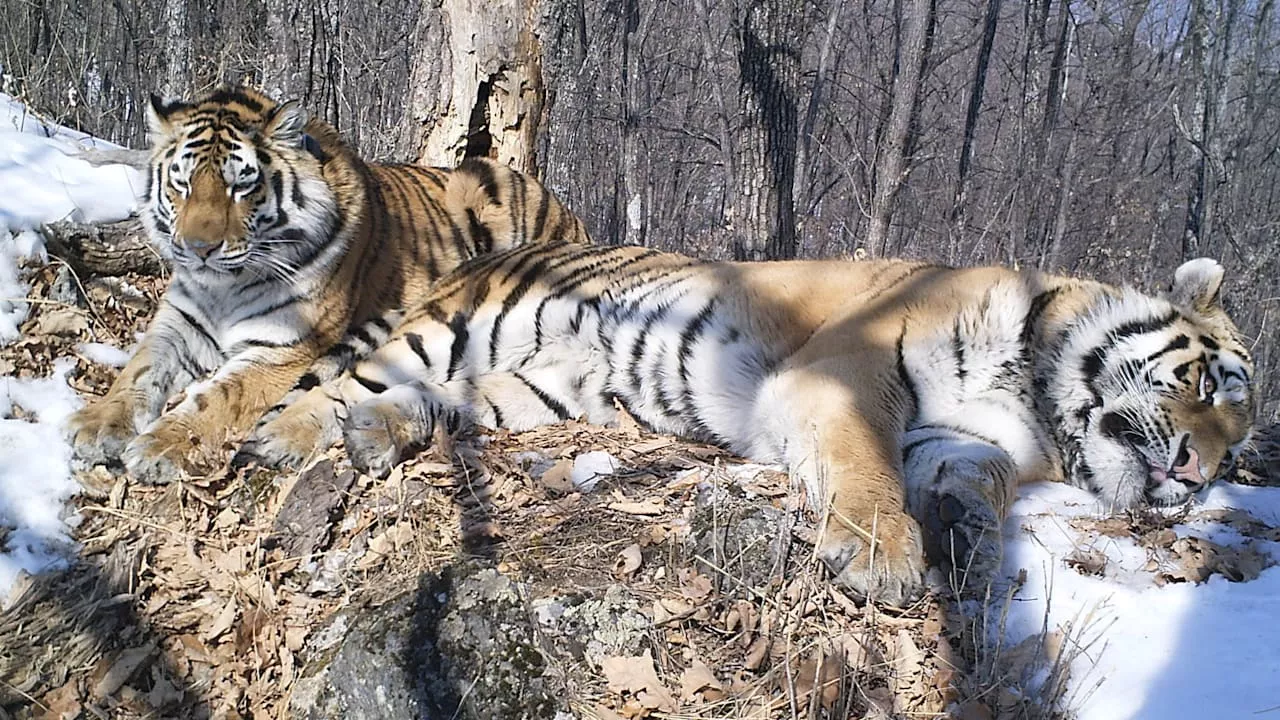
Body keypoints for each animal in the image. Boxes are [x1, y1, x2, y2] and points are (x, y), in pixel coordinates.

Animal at [67, 87, 586, 484]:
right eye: (182, 184)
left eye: (241, 186)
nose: (198, 248)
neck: (223, 287)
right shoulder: (178, 324)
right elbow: (137, 370)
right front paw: (95, 425)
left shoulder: (283, 349)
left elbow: (217, 398)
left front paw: (158, 445)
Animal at [238, 240, 1249, 604]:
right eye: (1209, 384)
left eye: (1240, 445)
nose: (1201, 475)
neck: (1036, 392)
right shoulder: (845, 373)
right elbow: (865, 466)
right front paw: (881, 558)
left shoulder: (964, 436)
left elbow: (977, 477)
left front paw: (965, 533)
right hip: (459, 328)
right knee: (337, 383)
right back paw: (285, 439)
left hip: (538, 390)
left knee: (438, 405)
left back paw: (379, 434)